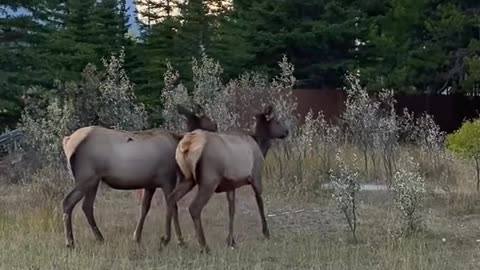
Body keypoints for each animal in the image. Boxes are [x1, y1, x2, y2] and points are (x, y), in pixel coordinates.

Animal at [61, 104, 218, 248]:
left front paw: (136, 237)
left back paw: (100, 238)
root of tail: (67, 141)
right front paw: (180, 241)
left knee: (86, 206)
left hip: (94, 180)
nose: (217, 128)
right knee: (68, 201)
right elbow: (173, 207)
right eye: (208, 121)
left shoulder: (150, 184)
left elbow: (144, 208)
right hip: (85, 177)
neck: (177, 143)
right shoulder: (167, 179)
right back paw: (70, 242)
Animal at [167, 104, 290, 253]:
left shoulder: (231, 185)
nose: (287, 131)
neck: (261, 146)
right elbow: (260, 203)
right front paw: (266, 233)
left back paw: (174, 240)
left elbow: (232, 209)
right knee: (194, 207)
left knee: (171, 199)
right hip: (209, 180)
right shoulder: (256, 176)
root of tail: (188, 144)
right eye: (277, 121)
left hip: (186, 178)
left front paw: (231, 241)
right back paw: (204, 246)